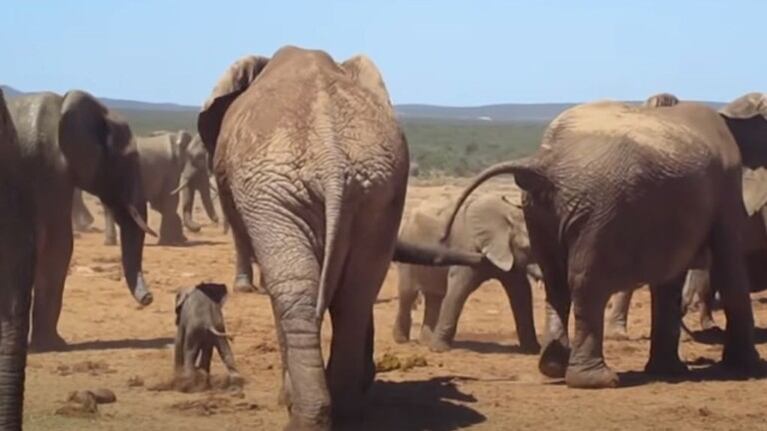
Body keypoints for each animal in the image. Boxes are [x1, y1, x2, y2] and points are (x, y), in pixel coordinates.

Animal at [200, 45, 486, 430]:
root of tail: (332, 157)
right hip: (378, 190)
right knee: (356, 293)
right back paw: (345, 410)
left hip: (274, 194)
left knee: (295, 291)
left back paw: (303, 415)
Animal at [392, 188, 544, 354]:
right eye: (528, 248)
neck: (509, 213)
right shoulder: (468, 245)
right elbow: (458, 290)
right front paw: (439, 349)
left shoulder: (506, 253)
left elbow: (521, 292)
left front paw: (533, 350)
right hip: (407, 252)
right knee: (408, 293)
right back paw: (401, 341)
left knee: (435, 297)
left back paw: (425, 342)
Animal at [440, 96, 764, 390]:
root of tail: (545, 160)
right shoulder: (727, 183)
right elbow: (729, 262)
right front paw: (749, 368)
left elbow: (671, 279)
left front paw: (670, 371)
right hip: (598, 209)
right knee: (586, 283)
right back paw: (596, 380)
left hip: (540, 210)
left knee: (556, 280)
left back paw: (553, 365)